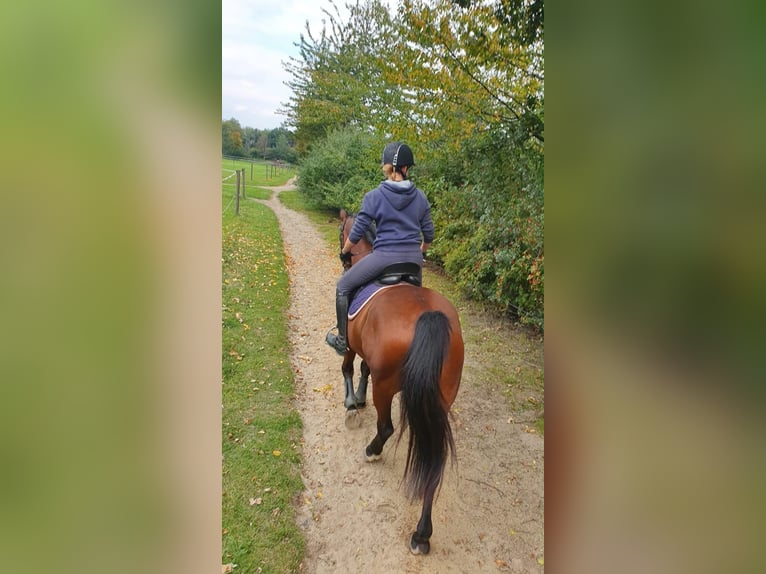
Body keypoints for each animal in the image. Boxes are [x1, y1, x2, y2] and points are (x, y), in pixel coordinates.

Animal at [334, 209, 464, 555]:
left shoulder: (352, 344)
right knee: (434, 461)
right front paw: (358, 398)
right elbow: (364, 368)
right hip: (440, 399)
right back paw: (422, 534)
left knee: (387, 427)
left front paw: (352, 404)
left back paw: (372, 450)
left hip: (388, 387)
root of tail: (428, 316)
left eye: (341, 231)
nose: (344, 257)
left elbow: (348, 366)